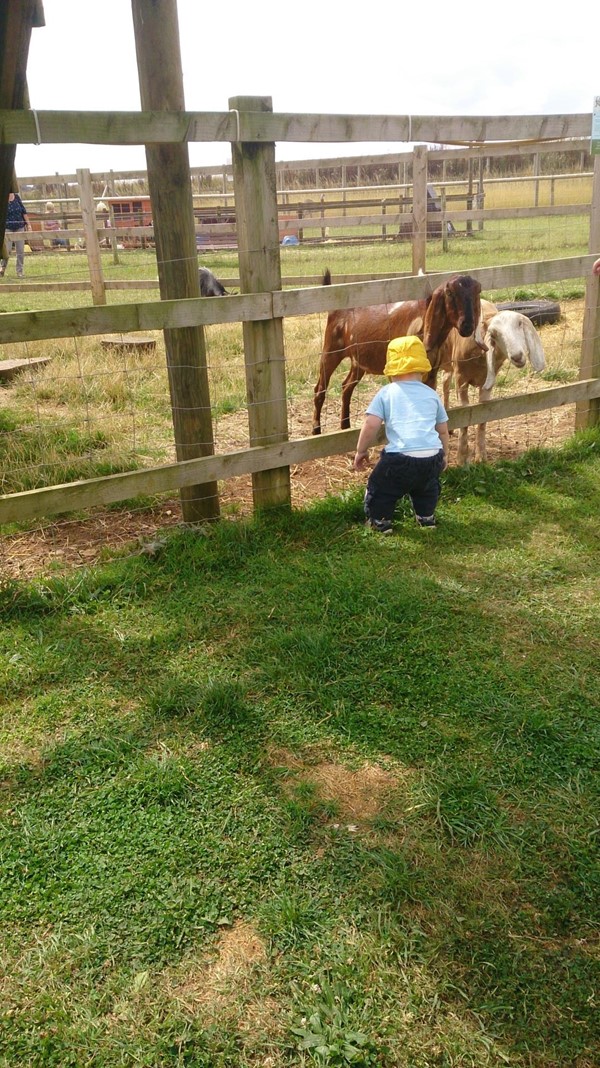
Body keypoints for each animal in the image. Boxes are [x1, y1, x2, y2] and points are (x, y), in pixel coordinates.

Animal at [313, 273, 480, 435]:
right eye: (449, 293)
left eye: (476, 292)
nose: (467, 325)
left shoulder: (432, 373)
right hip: (331, 349)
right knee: (320, 389)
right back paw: (316, 430)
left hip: (358, 361)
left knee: (347, 386)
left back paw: (345, 426)